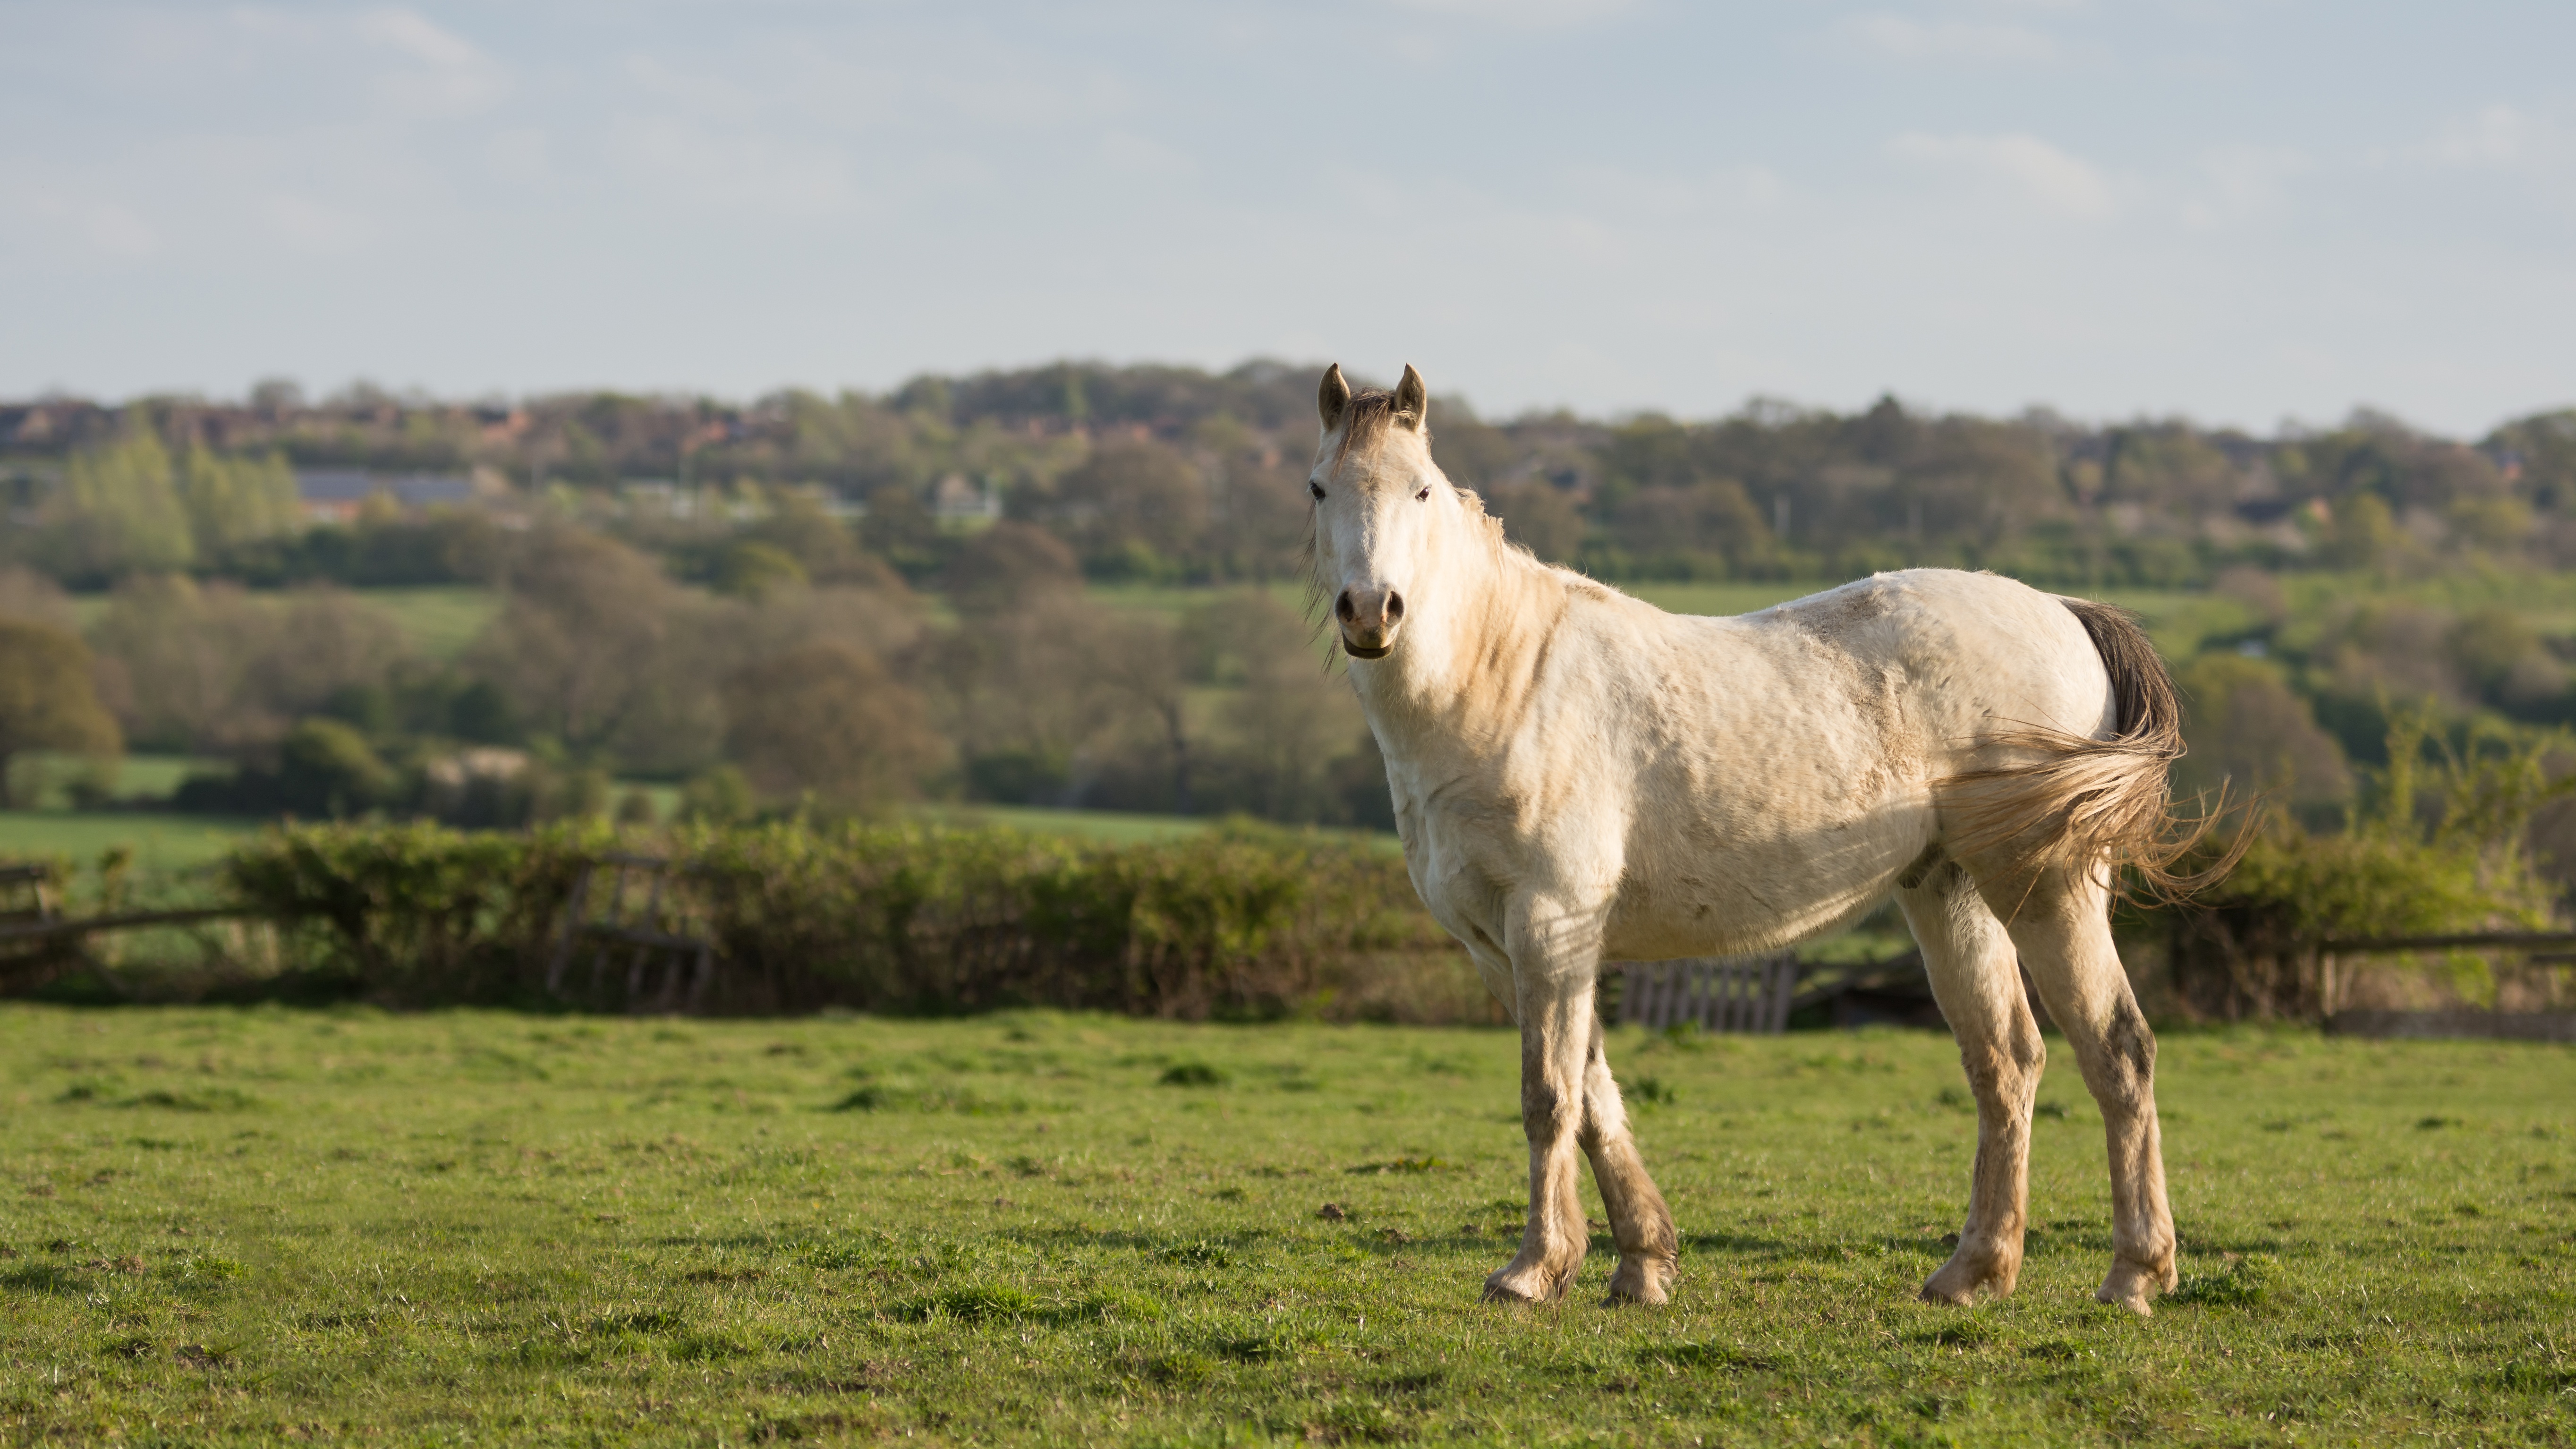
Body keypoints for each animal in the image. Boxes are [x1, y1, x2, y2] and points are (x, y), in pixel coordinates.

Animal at [1309, 361, 2215, 1310]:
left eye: (1420, 488)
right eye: (1318, 487)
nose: (1370, 611)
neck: (1504, 679)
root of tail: (2062, 610)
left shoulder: (1551, 926)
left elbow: (1549, 1096)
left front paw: (1533, 1270)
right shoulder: (1504, 948)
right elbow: (1594, 1098)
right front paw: (1641, 1264)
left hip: (2046, 887)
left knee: (2117, 1050)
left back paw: (2134, 1274)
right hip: (1950, 893)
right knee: (2005, 1062)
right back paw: (1972, 1272)